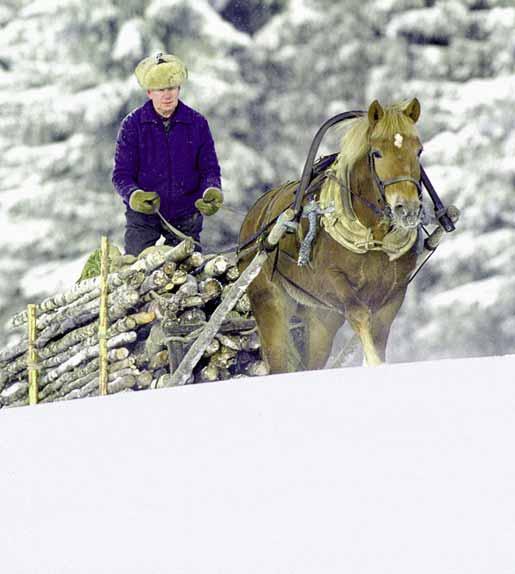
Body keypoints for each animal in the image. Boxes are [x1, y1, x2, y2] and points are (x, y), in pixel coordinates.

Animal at [240, 99, 426, 374]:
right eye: (377, 153)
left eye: (419, 151)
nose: (408, 209)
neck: (373, 240)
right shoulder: (333, 281)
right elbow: (359, 315)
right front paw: (373, 363)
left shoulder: (394, 294)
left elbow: (379, 333)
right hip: (270, 301)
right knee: (278, 359)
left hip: (320, 316)